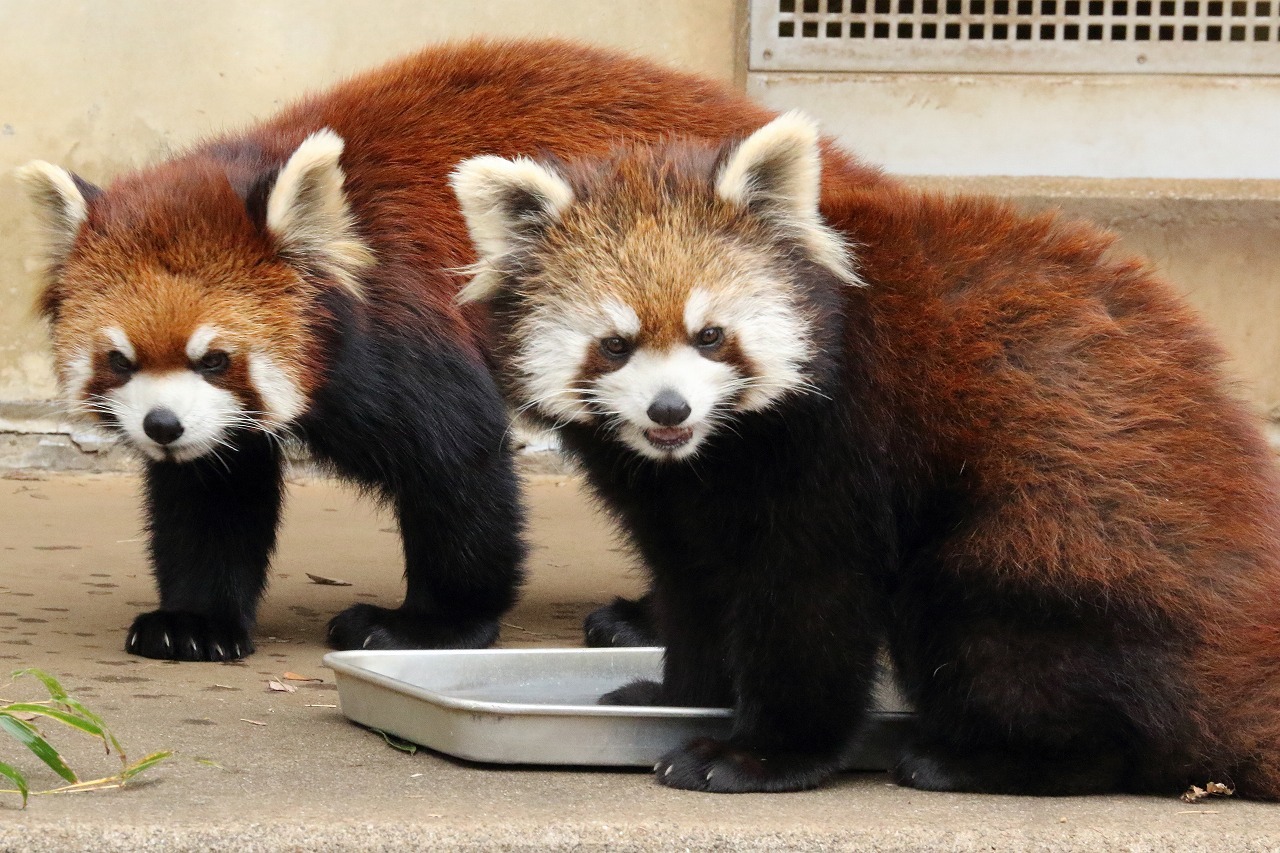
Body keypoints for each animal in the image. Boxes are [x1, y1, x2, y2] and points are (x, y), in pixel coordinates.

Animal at [15, 39, 885, 660]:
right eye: (121, 360)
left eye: (215, 358)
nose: (161, 426)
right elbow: (211, 491)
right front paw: (194, 621)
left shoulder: (403, 328)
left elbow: (455, 467)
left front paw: (429, 623)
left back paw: (649, 618)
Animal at [453, 109, 1280, 794]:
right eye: (616, 345)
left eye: (710, 335)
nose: (669, 409)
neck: (719, 448)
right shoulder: (672, 496)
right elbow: (693, 584)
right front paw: (682, 695)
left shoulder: (844, 448)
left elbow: (809, 603)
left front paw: (757, 755)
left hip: (1050, 558)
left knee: (1000, 644)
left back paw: (975, 758)